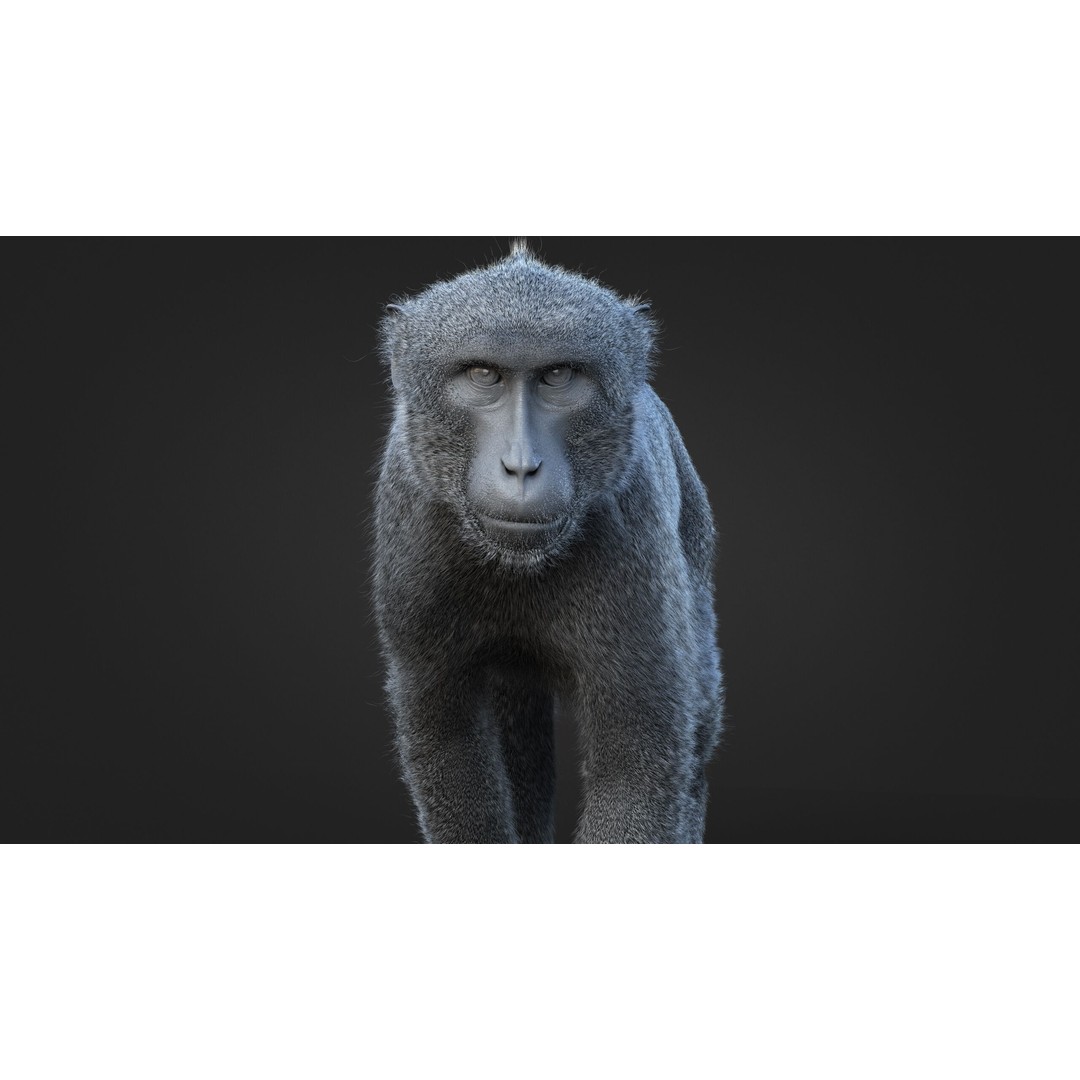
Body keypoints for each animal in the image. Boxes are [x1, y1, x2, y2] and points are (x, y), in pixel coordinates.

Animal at [373, 242, 723, 843]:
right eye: (483, 374)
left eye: (558, 375)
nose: (521, 466)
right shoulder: (414, 534)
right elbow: (446, 738)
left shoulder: (630, 530)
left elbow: (638, 763)